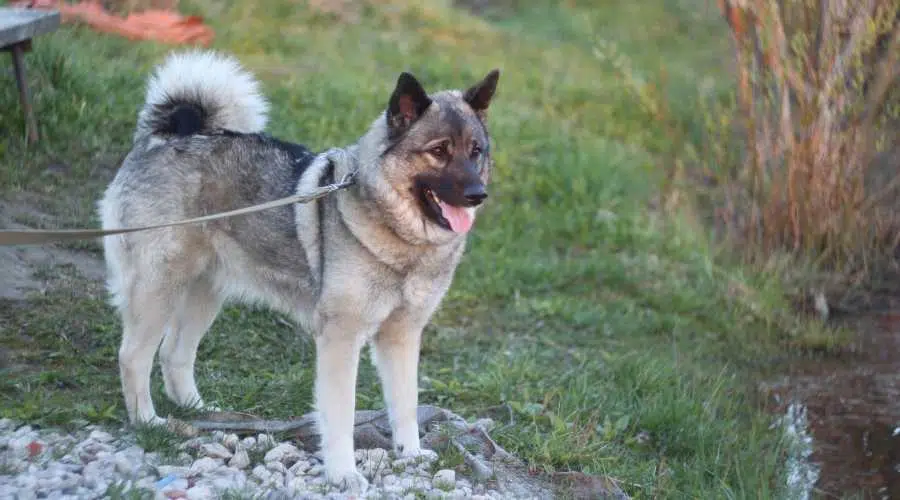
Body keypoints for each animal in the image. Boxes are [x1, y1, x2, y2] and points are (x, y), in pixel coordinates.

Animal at [100, 48, 500, 490]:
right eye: (439, 151)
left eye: (476, 151)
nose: (477, 194)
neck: (402, 239)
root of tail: (166, 135)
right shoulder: (341, 338)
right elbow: (340, 414)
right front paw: (343, 473)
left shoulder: (402, 335)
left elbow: (406, 403)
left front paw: (409, 454)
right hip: (159, 288)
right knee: (133, 356)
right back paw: (148, 421)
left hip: (205, 292)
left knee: (174, 353)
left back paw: (203, 413)